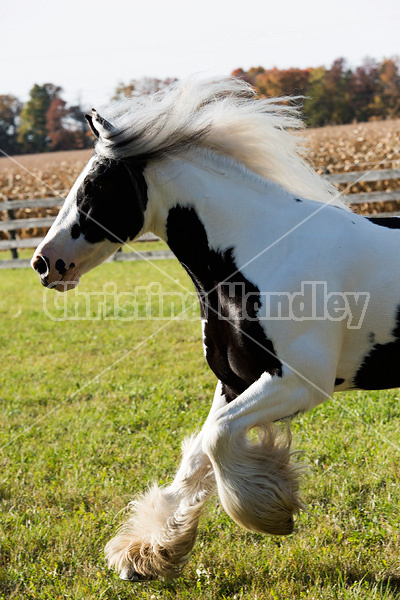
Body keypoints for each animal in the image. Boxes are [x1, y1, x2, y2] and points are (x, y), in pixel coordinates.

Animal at [30, 77, 400, 584]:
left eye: (95, 186)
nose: (43, 263)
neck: (264, 250)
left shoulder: (299, 383)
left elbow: (218, 438)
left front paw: (271, 512)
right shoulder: (234, 381)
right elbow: (196, 455)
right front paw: (148, 553)